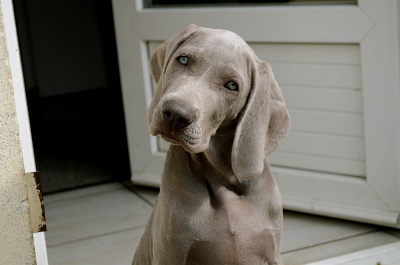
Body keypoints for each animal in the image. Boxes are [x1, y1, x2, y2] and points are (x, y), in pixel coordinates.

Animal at [134, 24, 290, 264]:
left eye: (232, 85)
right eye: (183, 59)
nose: (175, 114)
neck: (224, 179)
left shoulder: (271, 254)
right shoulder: (170, 252)